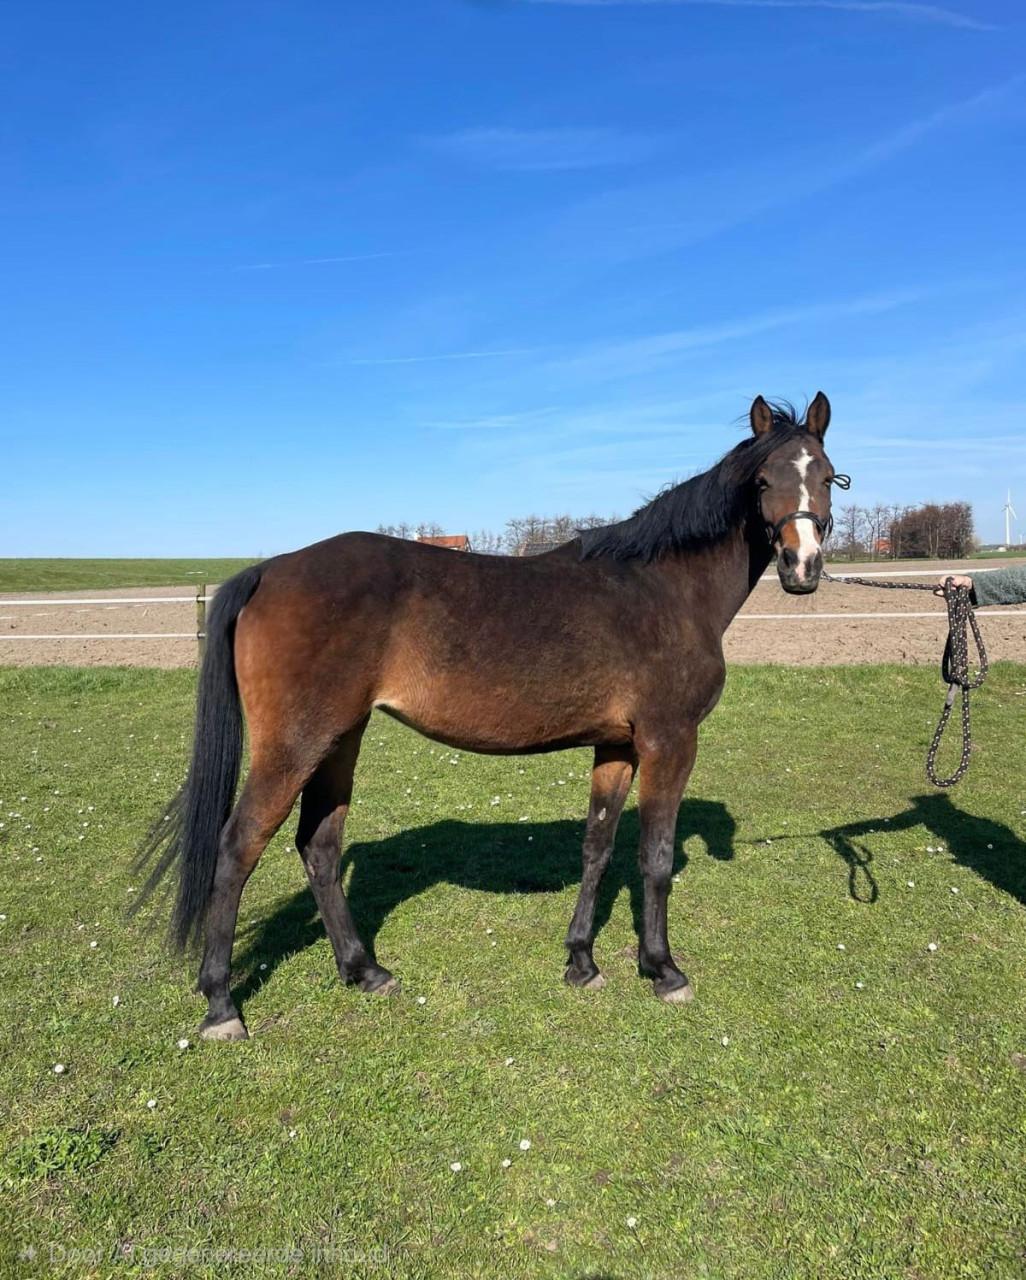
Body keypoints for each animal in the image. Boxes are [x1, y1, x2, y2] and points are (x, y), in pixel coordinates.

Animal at [139, 392, 842, 1040]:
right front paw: (662, 969)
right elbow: (656, 857)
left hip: (340, 739)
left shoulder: (617, 746)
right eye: (762, 481)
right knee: (238, 848)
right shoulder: (670, 742)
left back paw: (365, 970)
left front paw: (581, 961)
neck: (663, 588)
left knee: (319, 845)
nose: (803, 568)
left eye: (830, 476)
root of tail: (268, 570)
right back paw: (221, 1005)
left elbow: (597, 847)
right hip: (294, 746)